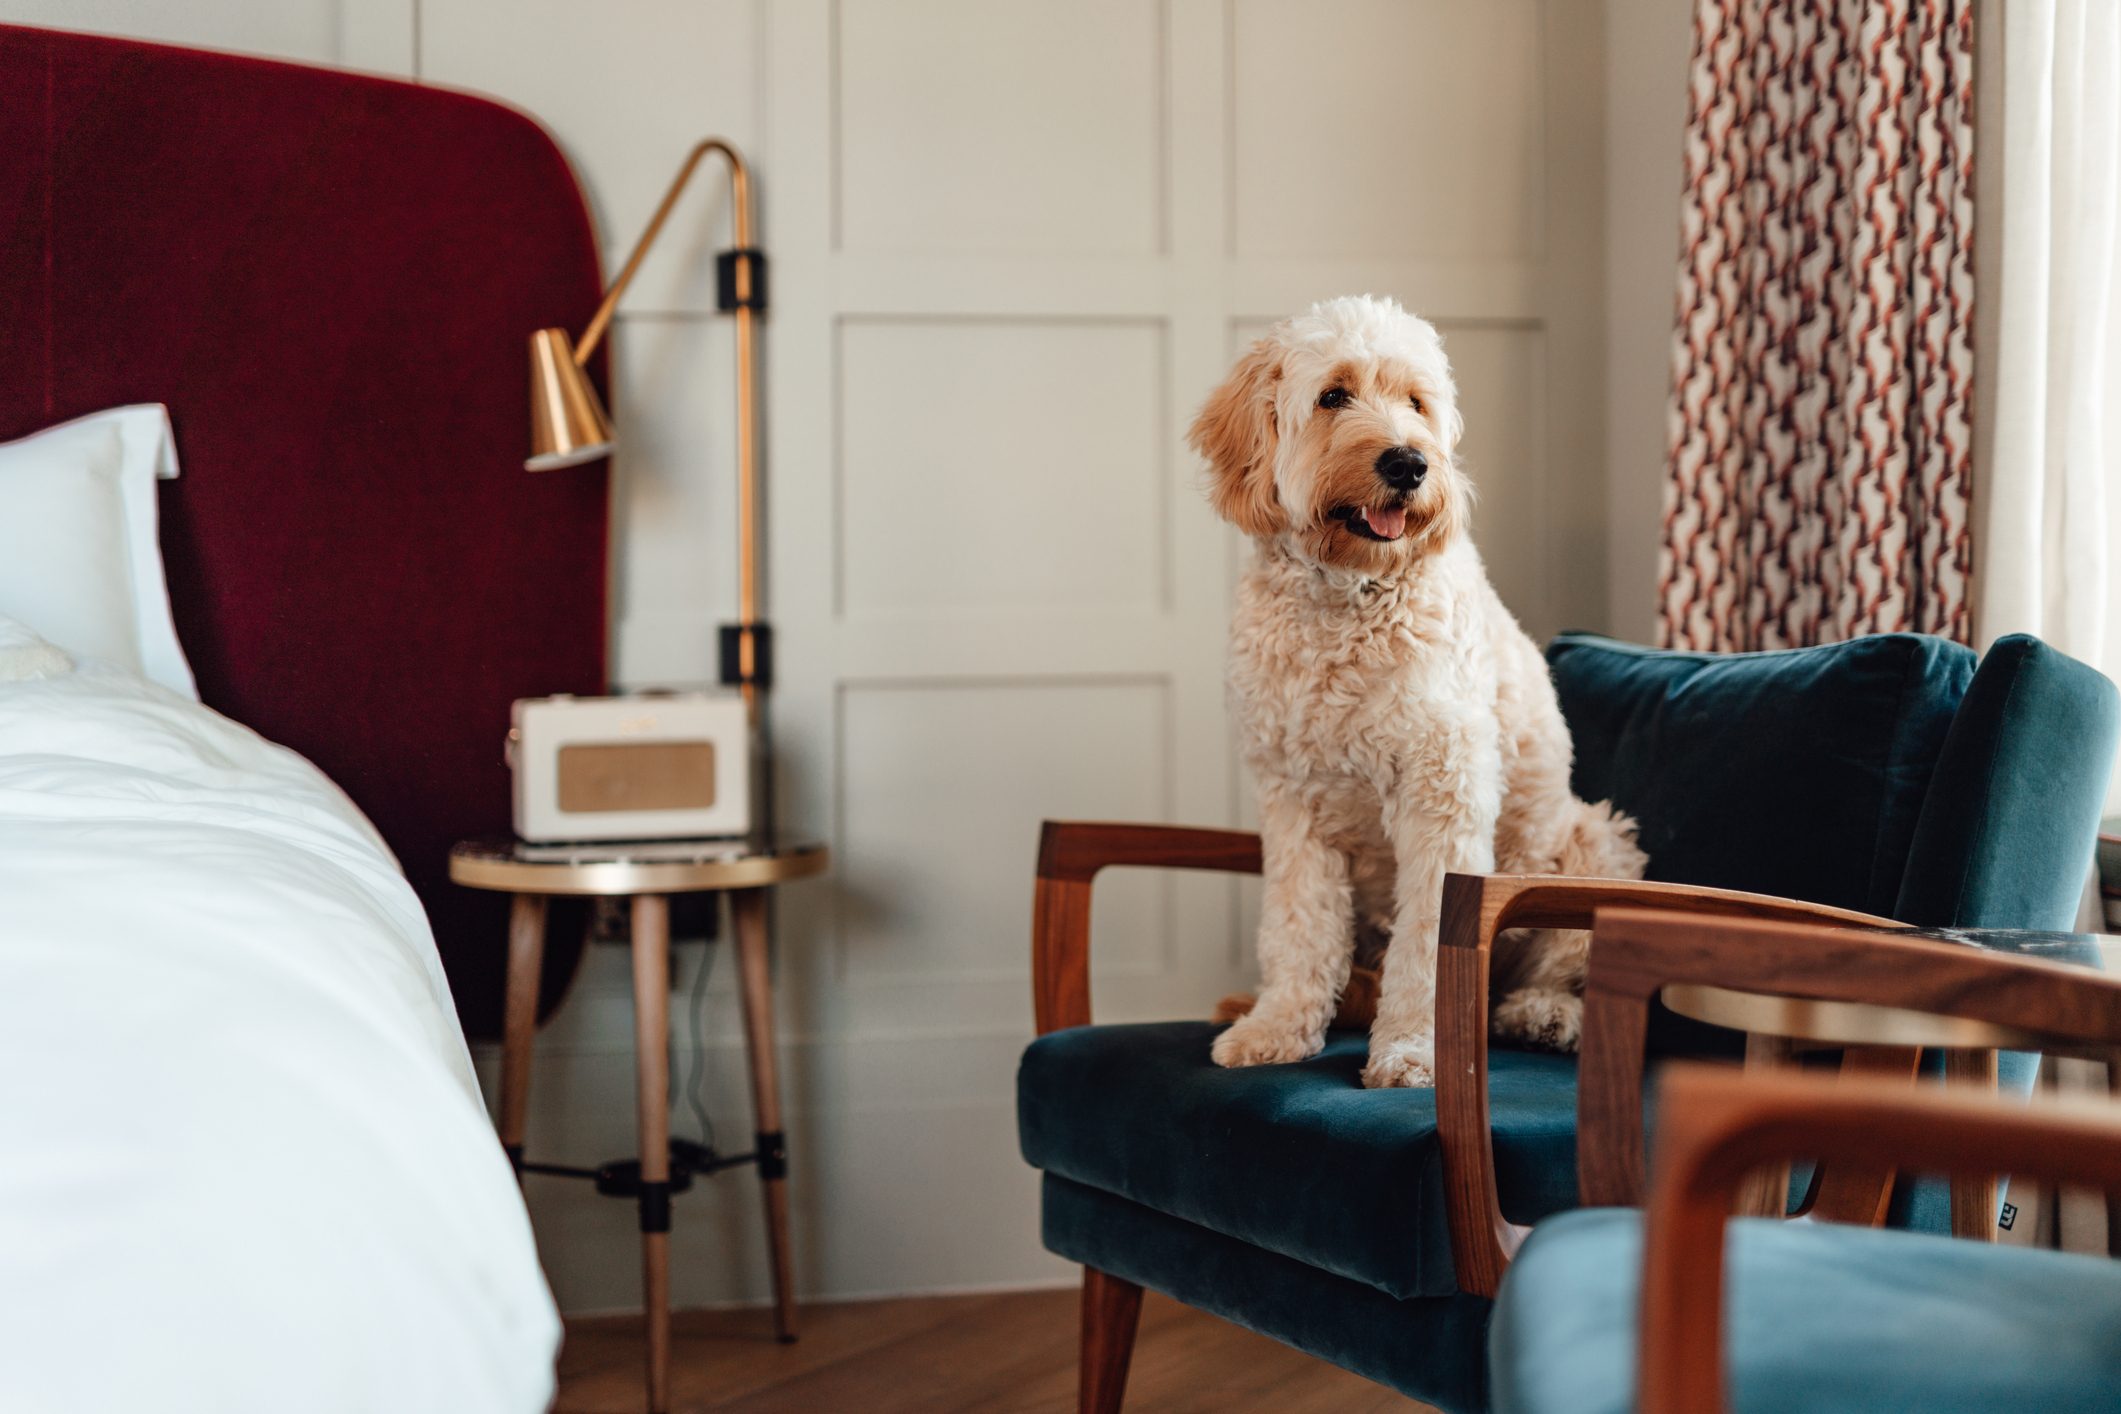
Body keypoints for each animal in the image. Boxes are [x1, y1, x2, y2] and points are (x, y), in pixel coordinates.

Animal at [1196, 298, 1637, 1093]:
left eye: (1415, 402)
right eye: (1333, 395)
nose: (1408, 462)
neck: (1348, 597)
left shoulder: (1442, 796)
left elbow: (1428, 942)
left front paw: (1411, 1051)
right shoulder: (1293, 804)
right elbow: (1297, 927)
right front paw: (1277, 1028)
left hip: (1592, 842)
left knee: (1559, 972)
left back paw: (1540, 1014)